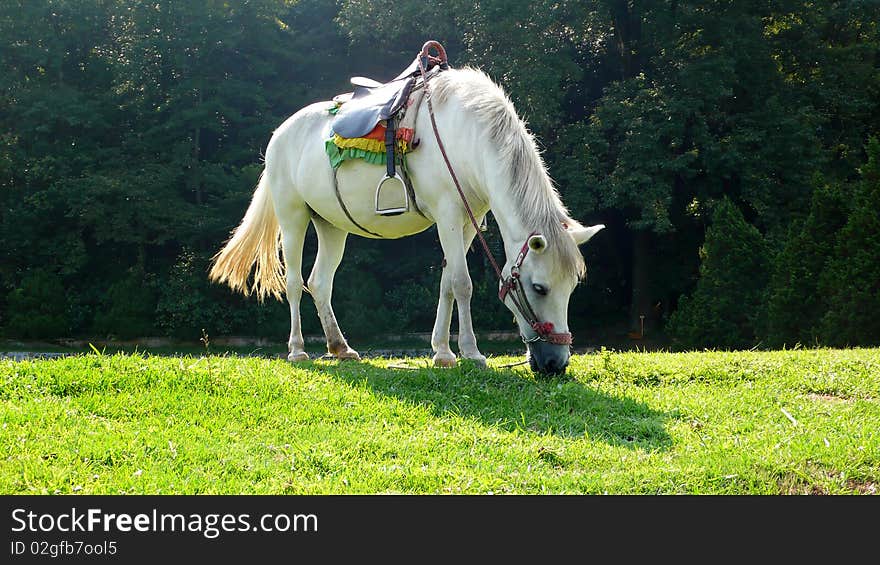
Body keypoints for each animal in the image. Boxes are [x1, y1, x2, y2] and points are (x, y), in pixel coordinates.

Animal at [210, 64, 600, 372]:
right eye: (539, 287)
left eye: (572, 287)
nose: (556, 363)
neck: (466, 137)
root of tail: (279, 135)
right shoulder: (448, 214)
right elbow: (463, 283)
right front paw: (471, 353)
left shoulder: (466, 222)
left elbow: (446, 283)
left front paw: (442, 352)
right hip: (293, 216)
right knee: (293, 282)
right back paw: (297, 350)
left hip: (332, 226)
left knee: (319, 282)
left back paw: (341, 348)